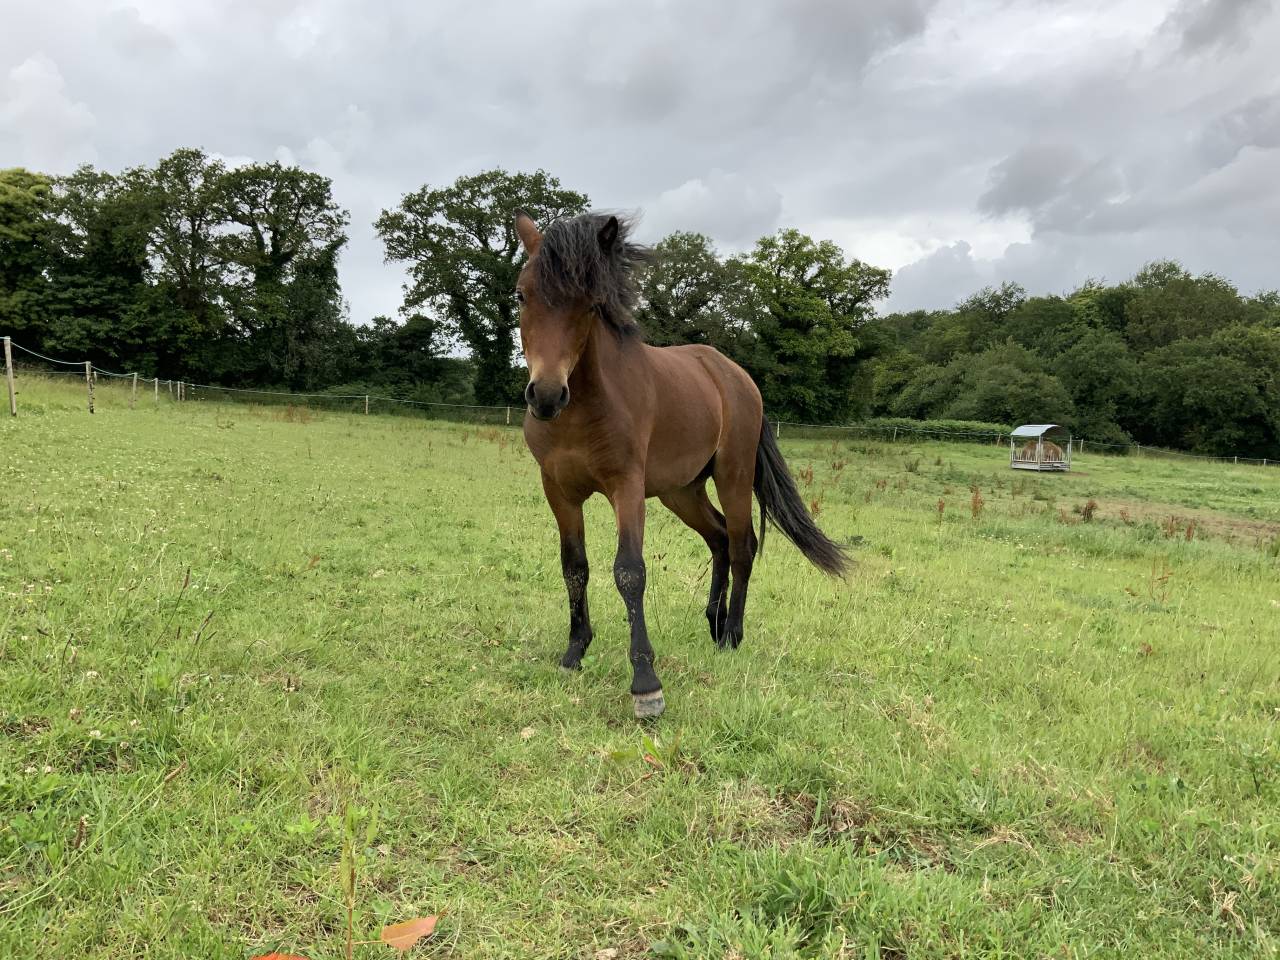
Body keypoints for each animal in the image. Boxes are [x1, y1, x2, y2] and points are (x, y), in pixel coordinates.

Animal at [513, 209, 850, 718]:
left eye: (591, 304)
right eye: (521, 294)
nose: (547, 396)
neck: (583, 409)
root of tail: (737, 377)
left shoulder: (627, 489)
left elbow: (629, 572)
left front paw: (646, 685)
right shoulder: (558, 491)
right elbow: (575, 567)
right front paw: (574, 651)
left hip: (731, 478)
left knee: (742, 545)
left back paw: (732, 634)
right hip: (682, 491)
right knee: (718, 539)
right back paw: (713, 623)